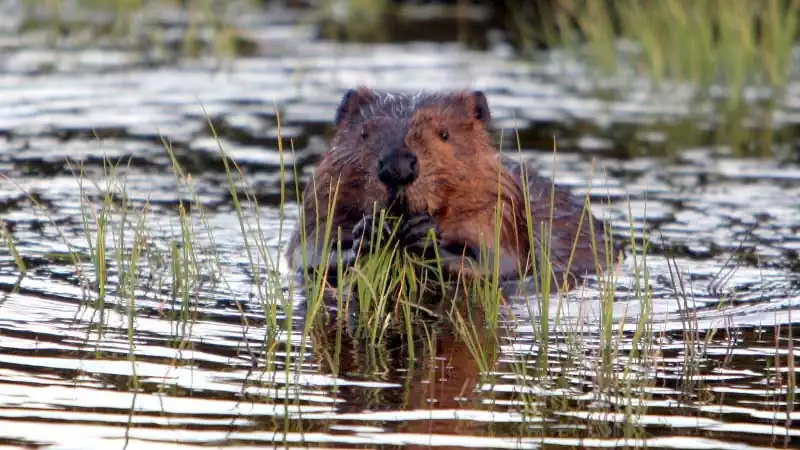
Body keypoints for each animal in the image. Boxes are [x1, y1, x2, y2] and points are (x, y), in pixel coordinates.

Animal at [284, 86, 620, 286]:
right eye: (364, 133)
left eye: (444, 133)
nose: (397, 166)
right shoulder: (321, 197)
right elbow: (309, 252)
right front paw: (369, 232)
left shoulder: (501, 206)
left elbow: (499, 262)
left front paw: (424, 234)